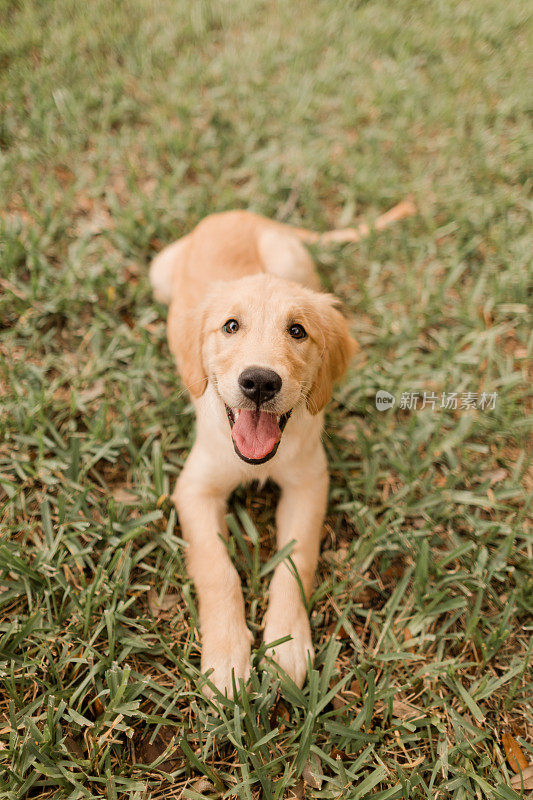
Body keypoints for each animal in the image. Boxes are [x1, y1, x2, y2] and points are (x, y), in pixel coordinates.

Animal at [150, 203, 416, 696]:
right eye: (230, 326)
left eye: (297, 331)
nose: (259, 382)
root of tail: (236, 212)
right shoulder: (195, 489)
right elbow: (217, 569)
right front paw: (226, 658)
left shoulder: (308, 484)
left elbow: (297, 563)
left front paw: (286, 646)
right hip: (160, 272)